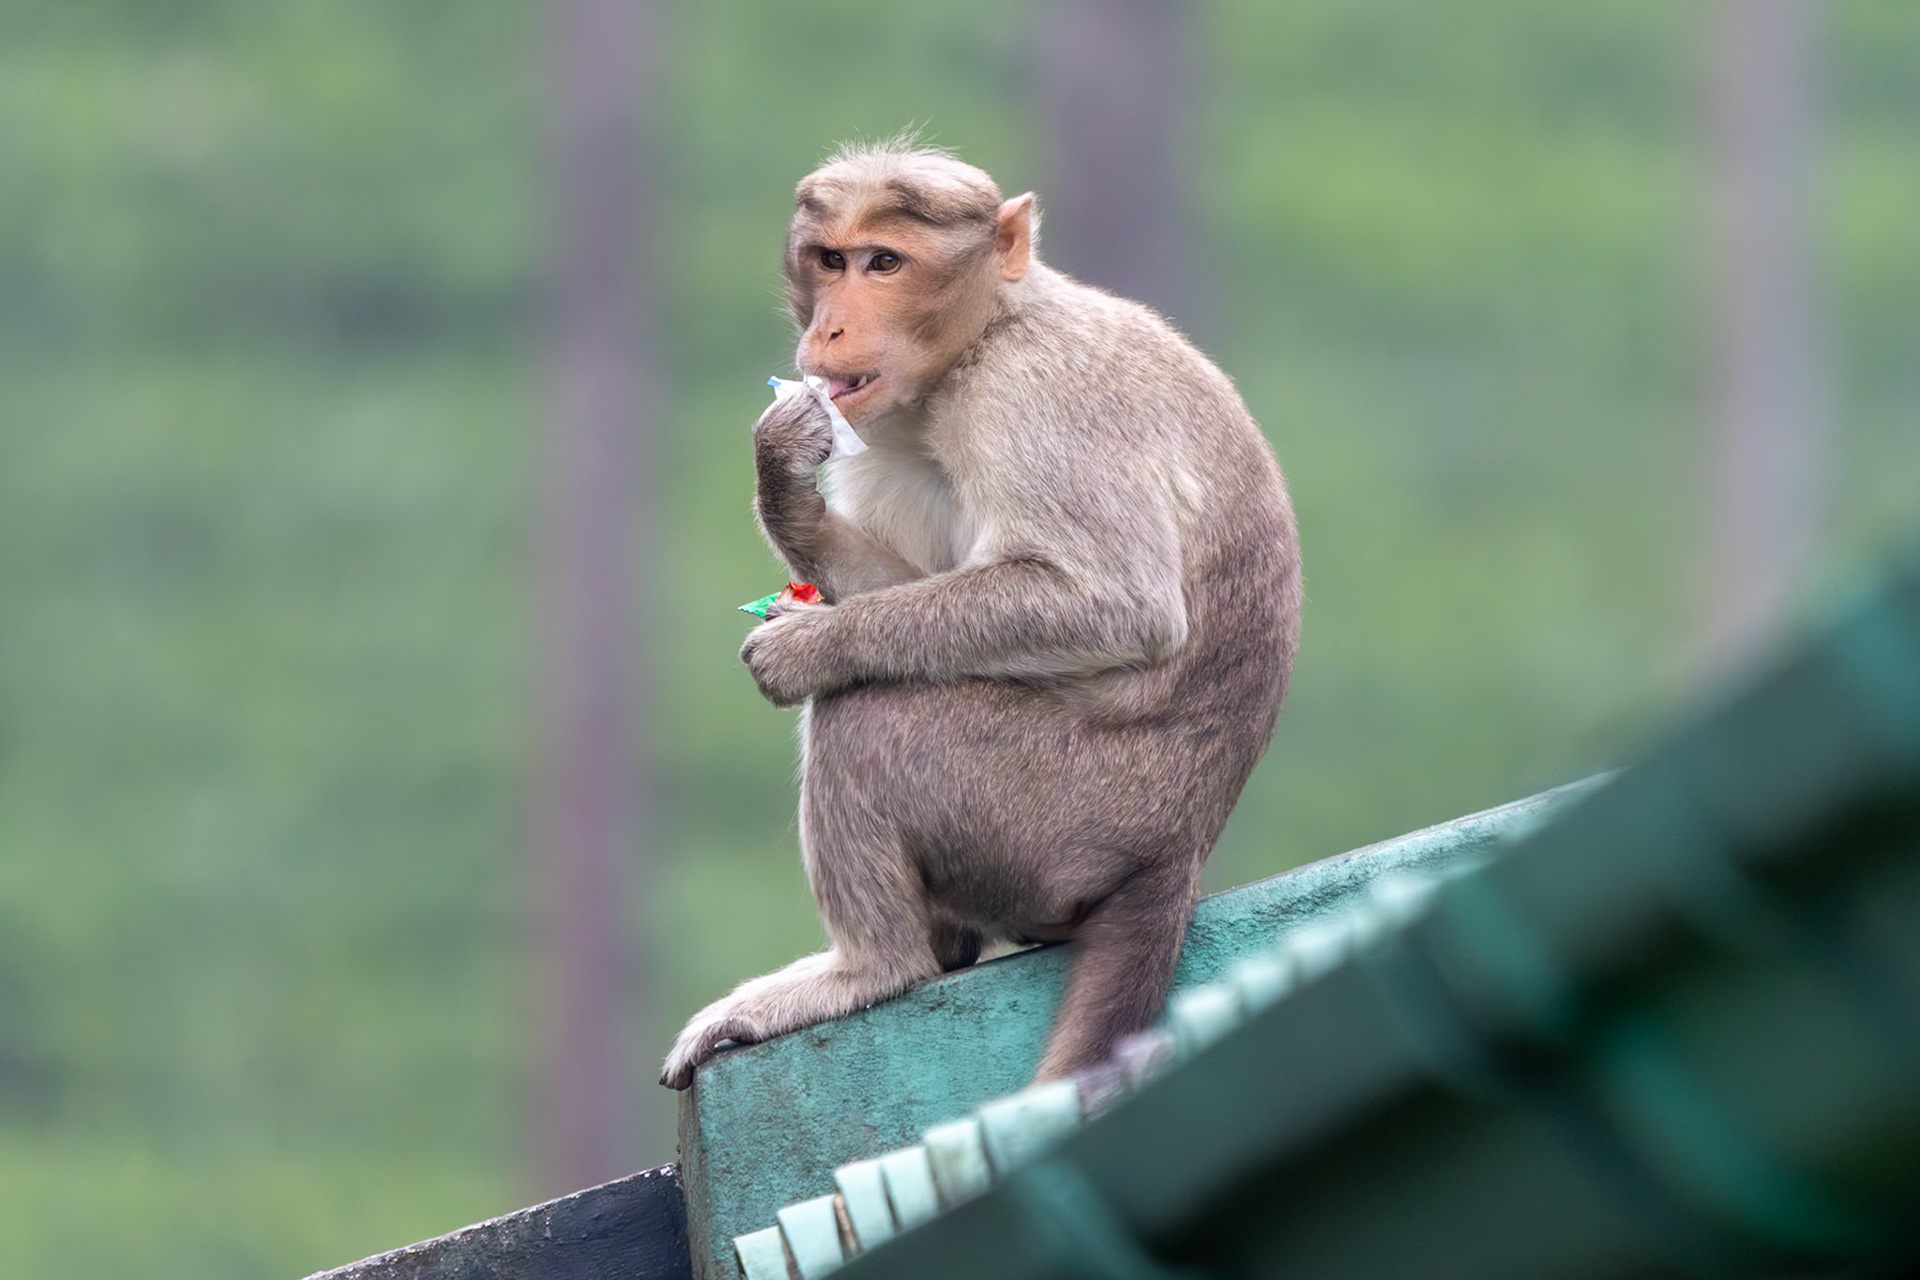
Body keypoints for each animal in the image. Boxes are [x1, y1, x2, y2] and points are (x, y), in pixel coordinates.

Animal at [660, 141, 1300, 1091]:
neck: (986, 333)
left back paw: (873, 967)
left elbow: (1113, 602)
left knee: (870, 715)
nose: (828, 331)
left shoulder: (1027, 395)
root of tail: (1174, 853)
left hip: (1053, 822)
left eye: (885, 262)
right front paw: (784, 479)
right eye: (831, 260)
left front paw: (812, 645)